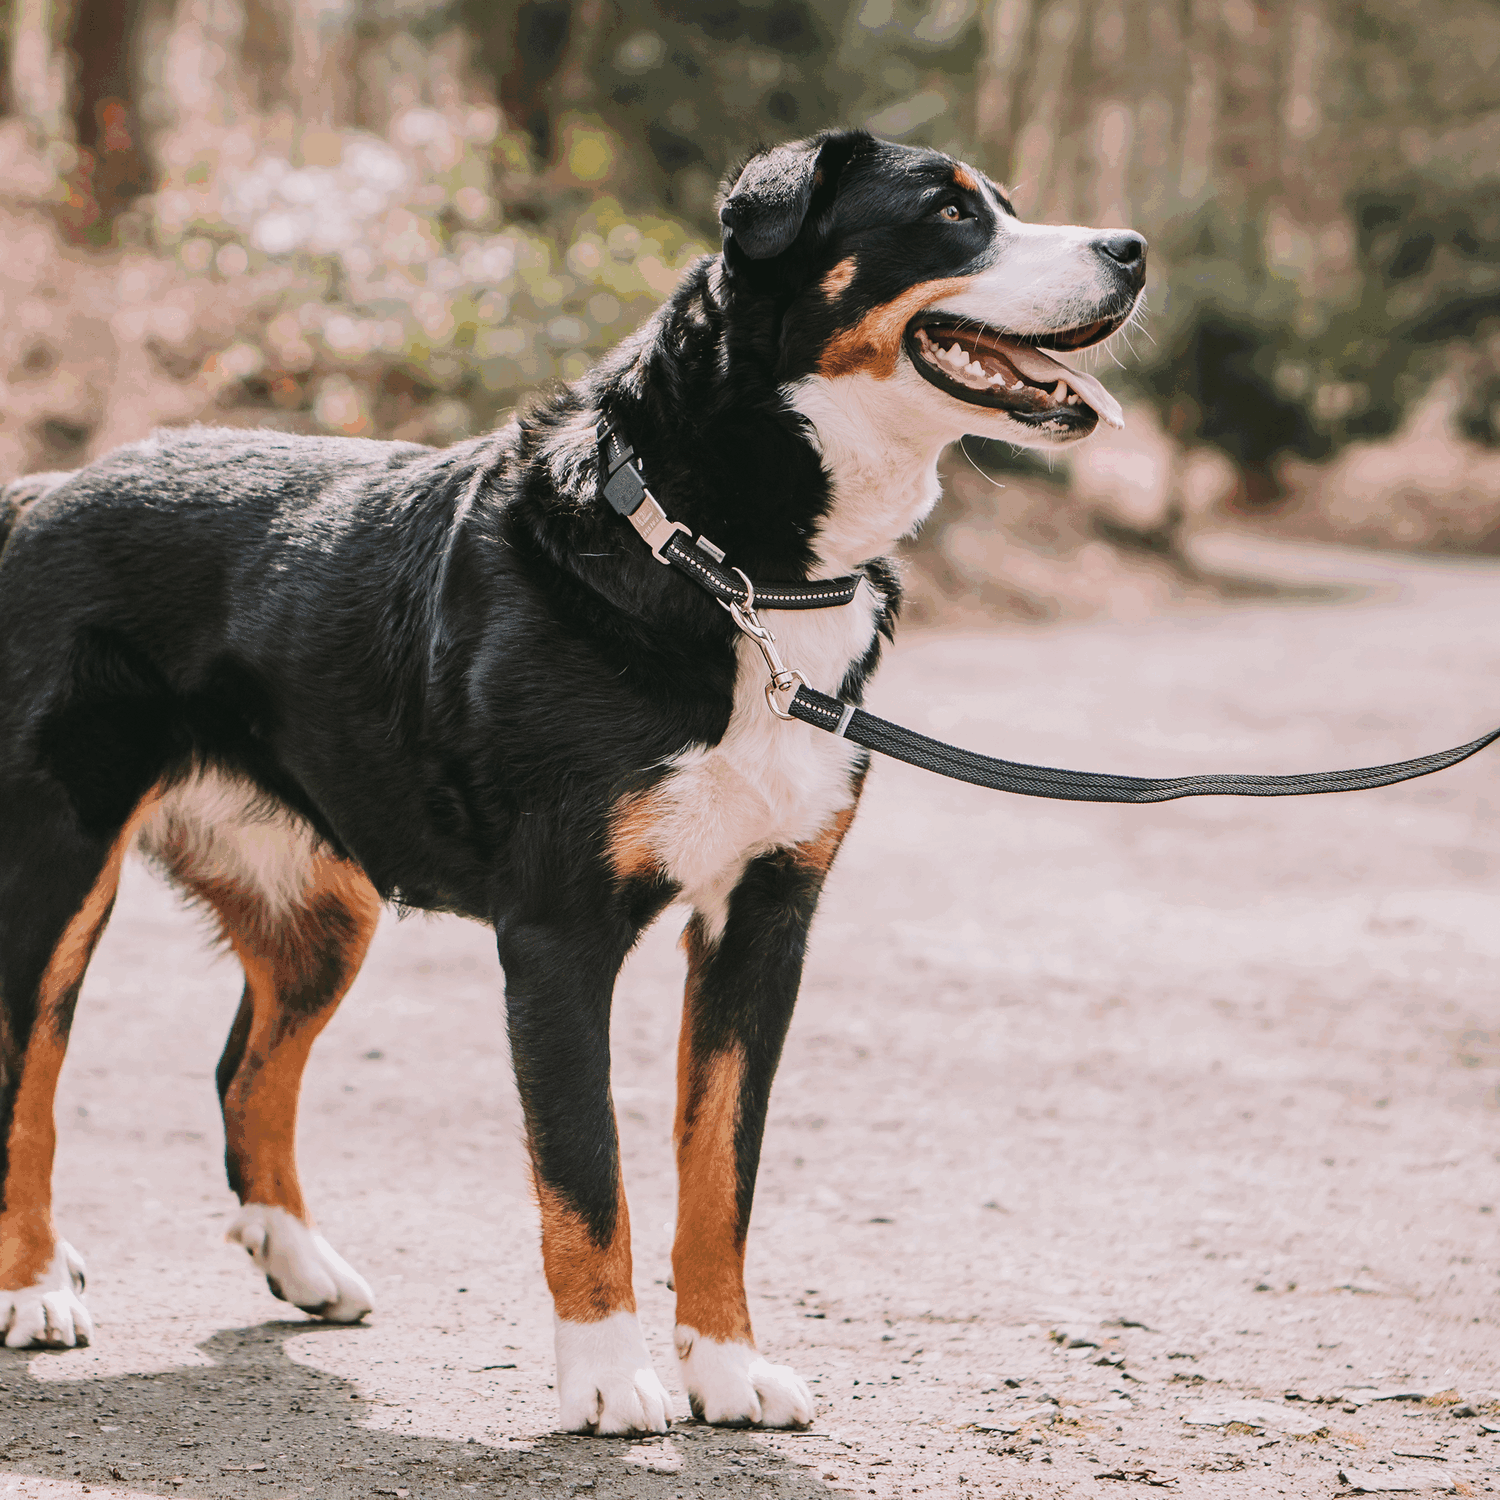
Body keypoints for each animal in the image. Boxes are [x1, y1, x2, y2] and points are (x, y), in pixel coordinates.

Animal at [0, 135, 1140, 1434]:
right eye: (950, 212)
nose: (1133, 250)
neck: (728, 568)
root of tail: (46, 489)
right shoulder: (559, 935)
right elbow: (588, 1173)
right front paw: (606, 1370)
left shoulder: (765, 920)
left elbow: (720, 1169)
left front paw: (726, 1362)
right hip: (56, 870)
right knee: (28, 1079)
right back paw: (35, 1284)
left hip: (324, 908)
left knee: (247, 1068)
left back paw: (299, 1260)